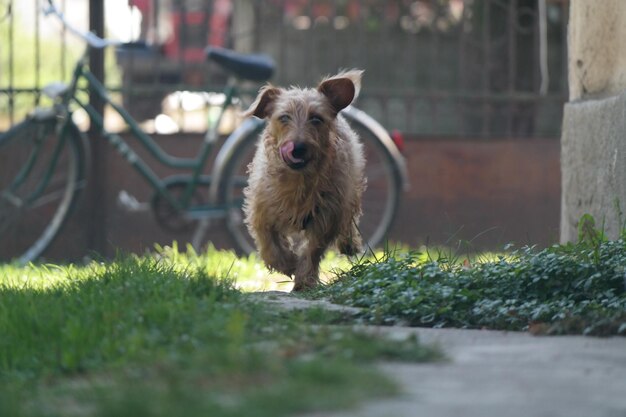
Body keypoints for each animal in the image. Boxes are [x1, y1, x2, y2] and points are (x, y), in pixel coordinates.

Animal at [240, 70, 366, 290]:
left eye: (316, 118)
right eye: (284, 117)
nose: (298, 148)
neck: (298, 180)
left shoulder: (327, 214)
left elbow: (313, 249)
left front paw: (305, 280)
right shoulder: (261, 211)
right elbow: (269, 244)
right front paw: (286, 264)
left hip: (350, 191)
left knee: (349, 218)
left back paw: (349, 243)